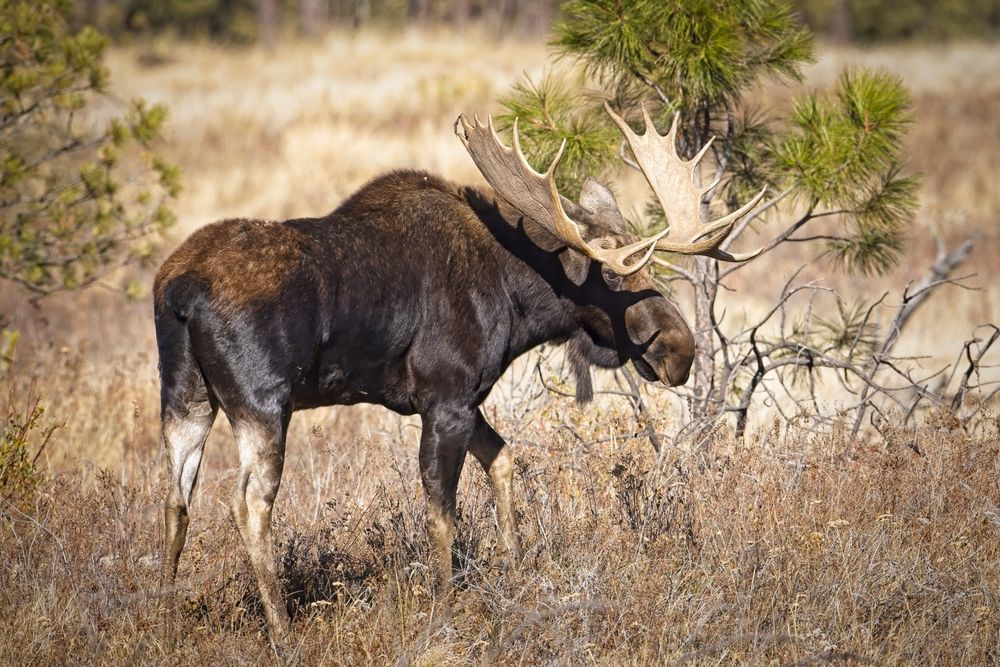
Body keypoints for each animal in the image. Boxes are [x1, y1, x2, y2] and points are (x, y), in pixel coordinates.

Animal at [153, 104, 765, 645]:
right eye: (617, 272)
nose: (679, 350)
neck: (517, 302)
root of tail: (179, 291)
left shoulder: (467, 401)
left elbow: (503, 460)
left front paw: (515, 570)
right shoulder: (447, 397)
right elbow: (442, 510)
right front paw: (443, 609)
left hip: (185, 398)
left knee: (175, 497)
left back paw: (165, 619)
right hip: (261, 403)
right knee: (249, 503)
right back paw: (281, 632)